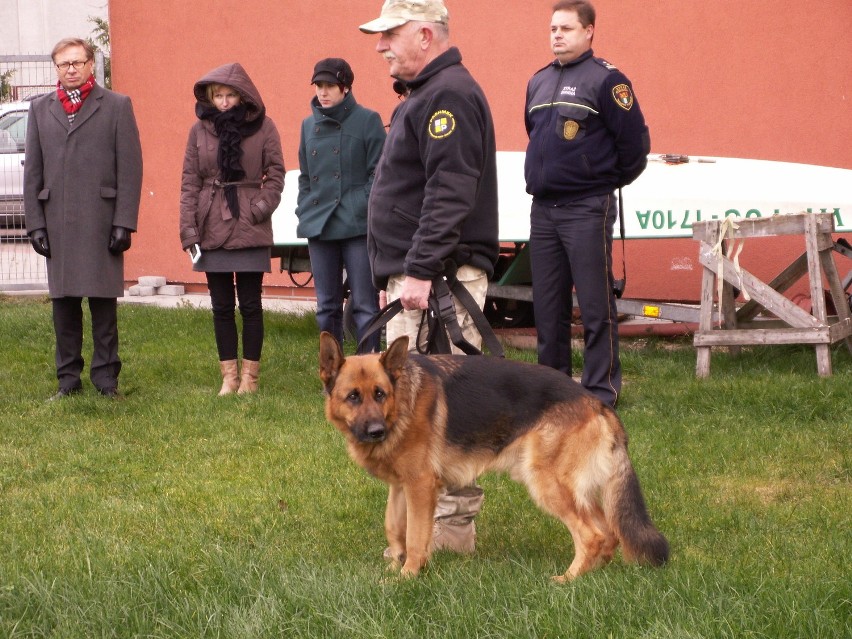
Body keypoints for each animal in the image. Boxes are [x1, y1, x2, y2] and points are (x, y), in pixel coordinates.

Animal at [316, 332, 668, 584]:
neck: (402, 401)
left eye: (380, 394)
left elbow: (415, 536)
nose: (376, 431)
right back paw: (593, 575)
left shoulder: (420, 486)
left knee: (593, 535)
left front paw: (408, 576)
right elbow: (393, 526)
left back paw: (568, 580)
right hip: (575, 489)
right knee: (608, 533)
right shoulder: (400, 486)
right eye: (353, 397)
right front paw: (394, 569)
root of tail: (597, 403)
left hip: (547, 484)